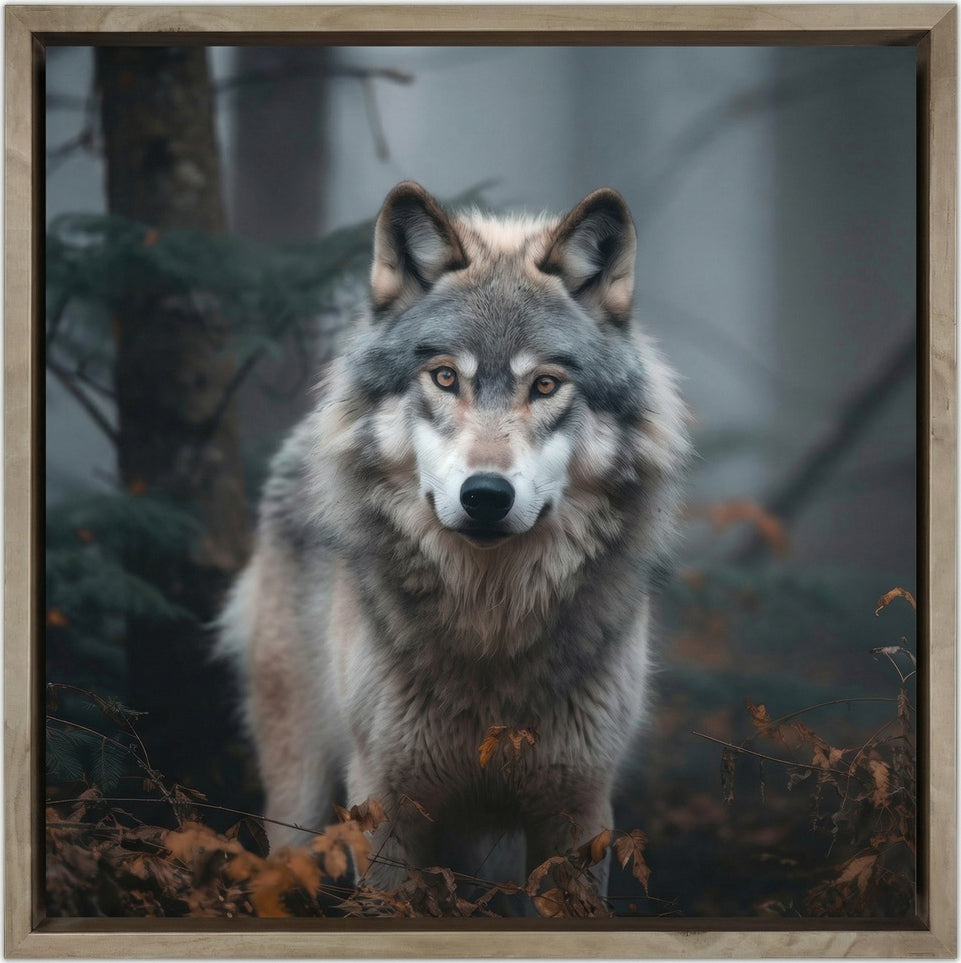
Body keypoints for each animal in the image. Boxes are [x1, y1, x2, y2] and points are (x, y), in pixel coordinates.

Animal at [218, 182, 690, 896]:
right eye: (445, 378)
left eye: (545, 385)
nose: (485, 495)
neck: (489, 624)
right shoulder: (386, 801)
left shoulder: (578, 807)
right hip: (299, 787)